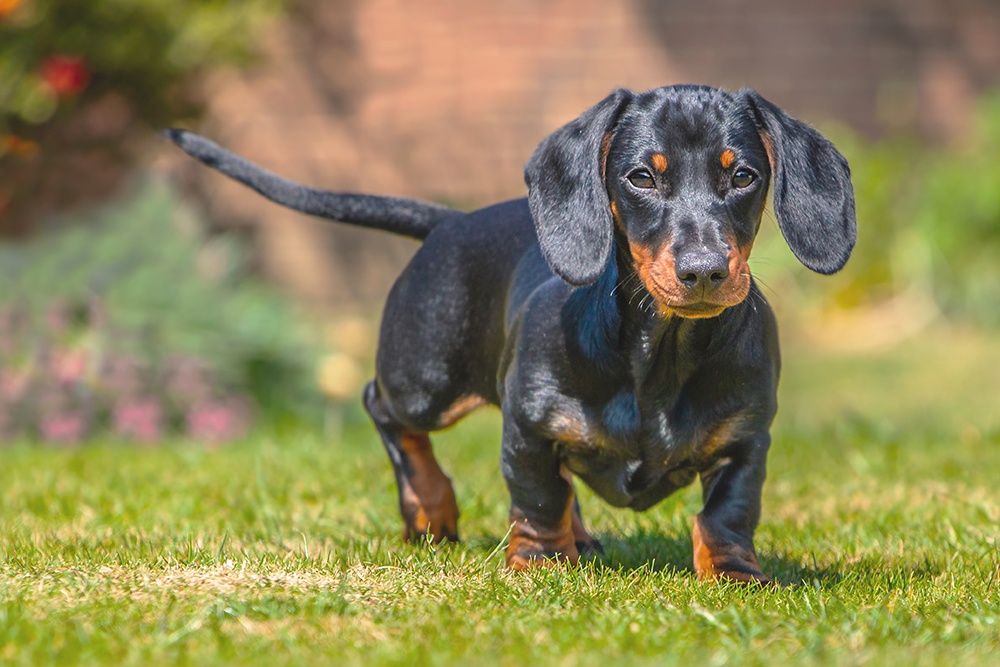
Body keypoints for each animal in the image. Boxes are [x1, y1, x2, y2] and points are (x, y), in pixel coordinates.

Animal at [168, 83, 856, 584]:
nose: (706, 271)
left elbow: (728, 512)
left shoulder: (747, 439)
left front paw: (736, 575)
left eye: (743, 177)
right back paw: (432, 510)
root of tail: (450, 221)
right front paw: (543, 562)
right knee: (385, 411)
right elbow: (538, 495)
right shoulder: (527, 425)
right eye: (641, 177)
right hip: (426, 382)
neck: (659, 355)